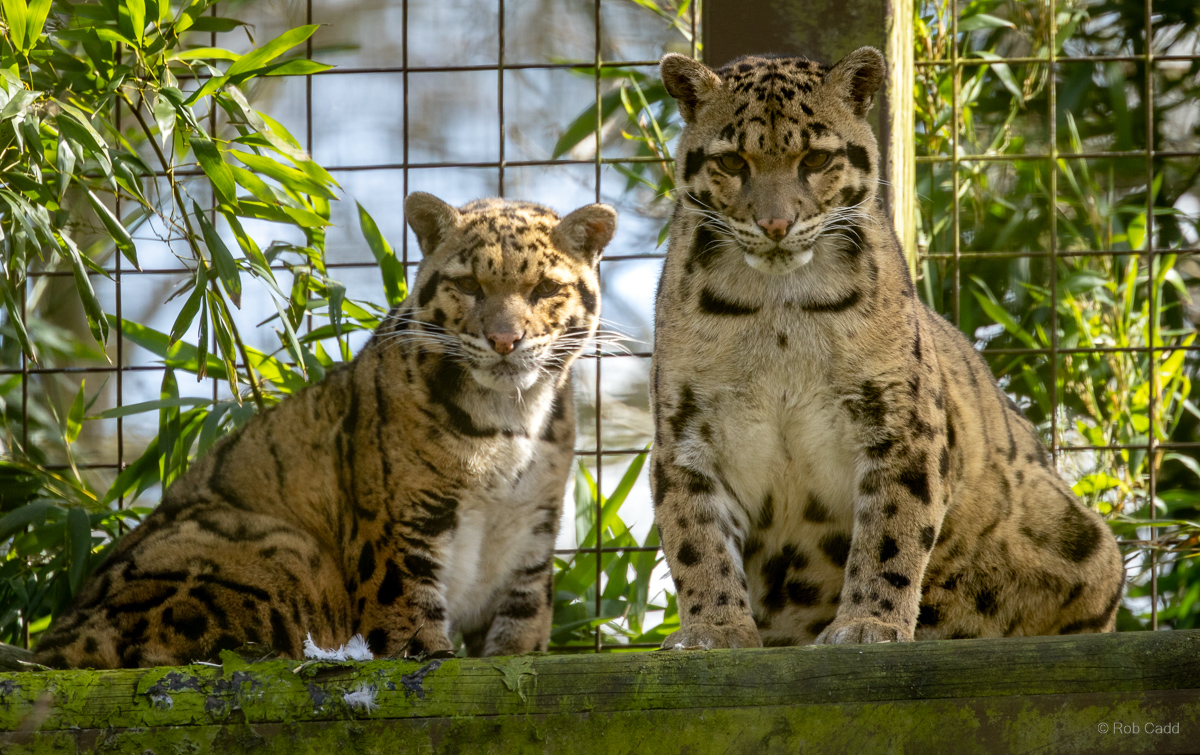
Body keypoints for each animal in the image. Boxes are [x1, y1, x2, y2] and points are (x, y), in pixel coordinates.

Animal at [33, 192, 617, 668]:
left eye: (545, 288)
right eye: (469, 285)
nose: (504, 341)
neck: (508, 422)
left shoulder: (529, 543)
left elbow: (520, 637)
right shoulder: (399, 533)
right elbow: (410, 628)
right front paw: (430, 657)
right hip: (284, 549)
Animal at [648, 47, 1125, 650]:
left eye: (815, 158)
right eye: (733, 162)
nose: (776, 224)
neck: (778, 309)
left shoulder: (900, 423)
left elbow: (890, 534)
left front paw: (868, 625)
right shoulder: (686, 437)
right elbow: (697, 540)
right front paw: (713, 630)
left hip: (1083, 539)